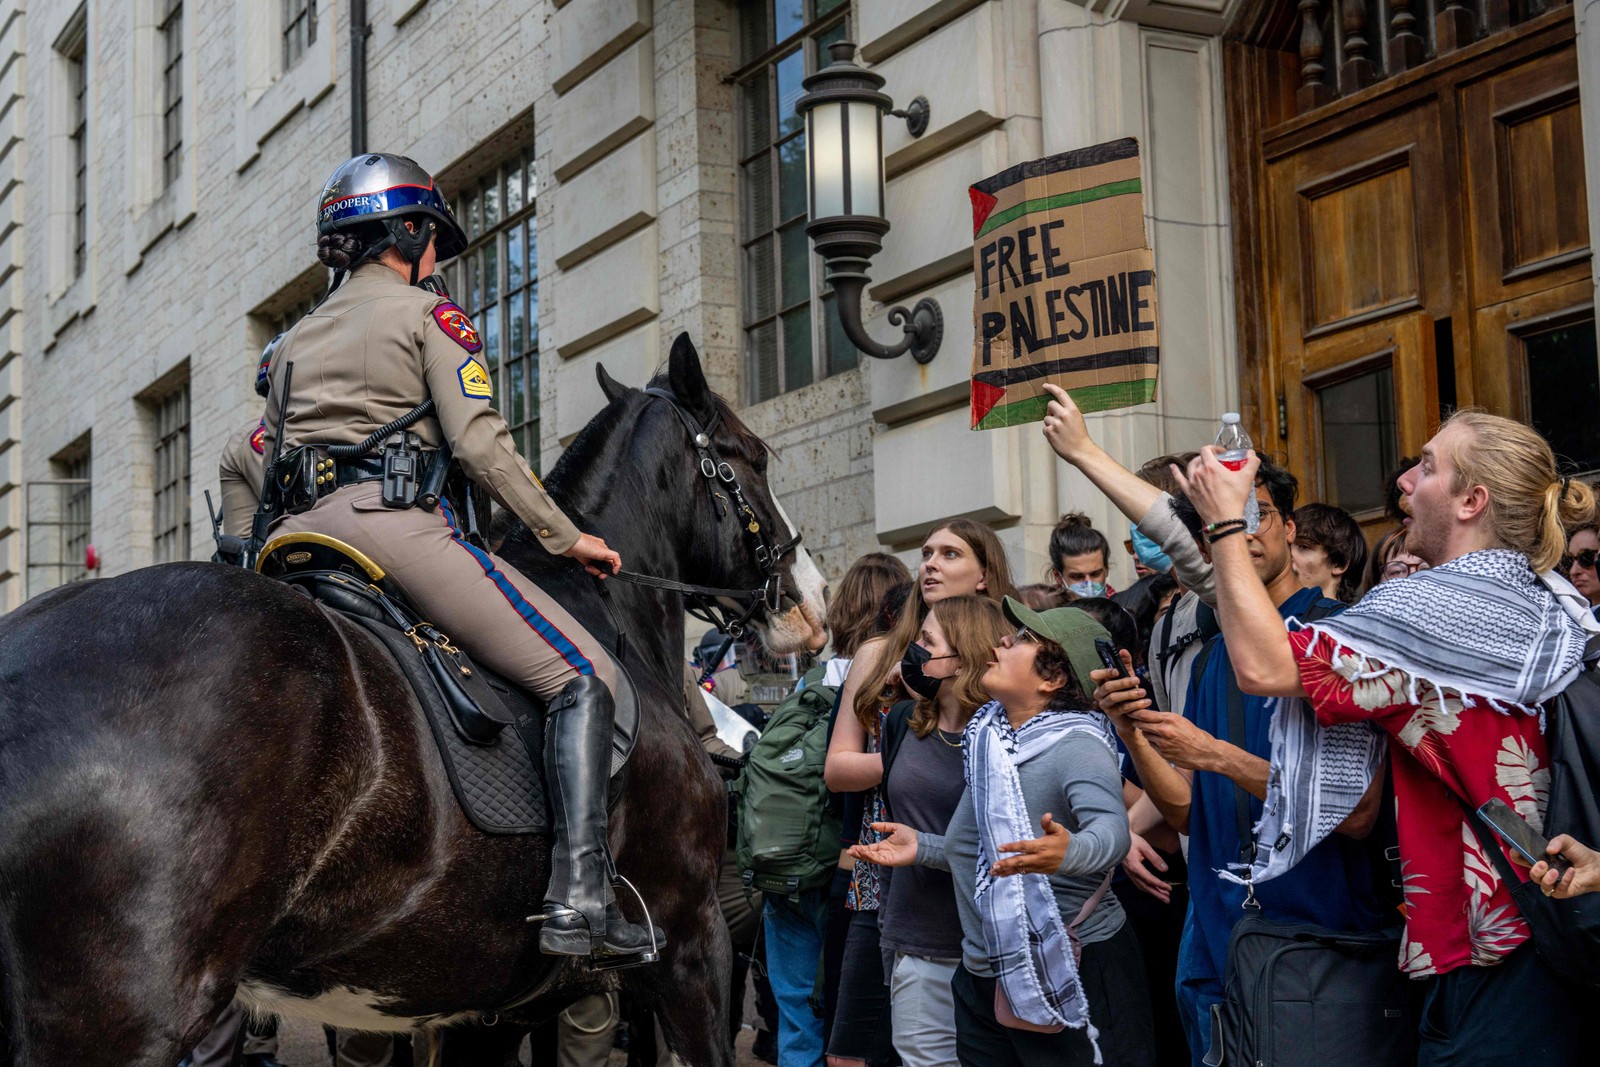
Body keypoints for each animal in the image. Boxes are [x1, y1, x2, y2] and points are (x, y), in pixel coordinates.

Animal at [0, 335, 825, 1067]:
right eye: (751, 456)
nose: (810, 597)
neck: (605, 611)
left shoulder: (489, 1007)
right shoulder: (692, 940)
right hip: (124, 1014)